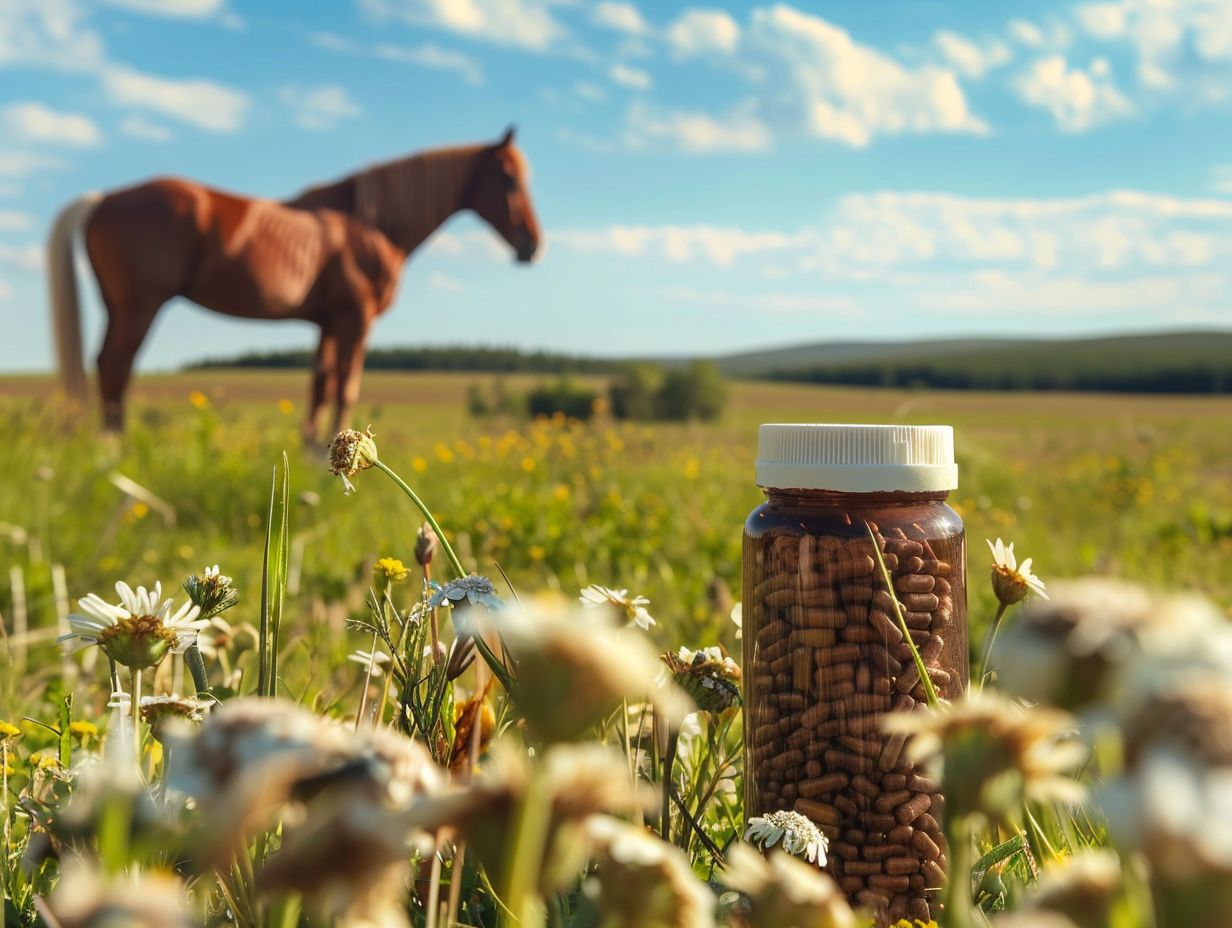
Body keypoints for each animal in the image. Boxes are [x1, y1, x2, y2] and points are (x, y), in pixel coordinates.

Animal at [49, 126, 539, 441]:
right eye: (509, 178)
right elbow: (345, 387)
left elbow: (319, 388)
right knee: (115, 367)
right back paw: (115, 451)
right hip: (140, 305)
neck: (371, 224)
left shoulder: (327, 322)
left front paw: (313, 453)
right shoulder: (356, 318)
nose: (532, 244)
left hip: (119, 305)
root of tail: (101, 198)